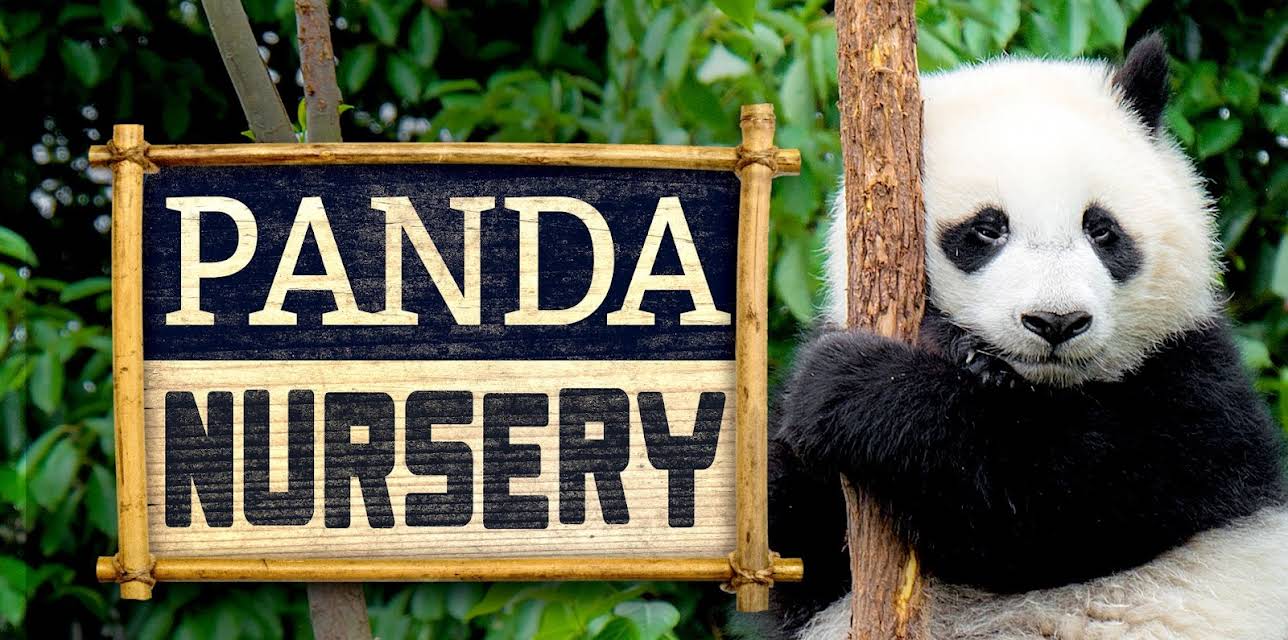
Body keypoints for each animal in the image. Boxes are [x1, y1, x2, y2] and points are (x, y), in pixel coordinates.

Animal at [759, 35, 1288, 640]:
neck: (1043, 388)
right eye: (987, 228)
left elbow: (1060, 499)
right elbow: (793, 538)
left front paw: (854, 387)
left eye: (1101, 228)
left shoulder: (1194, 386)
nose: (1056, 322)